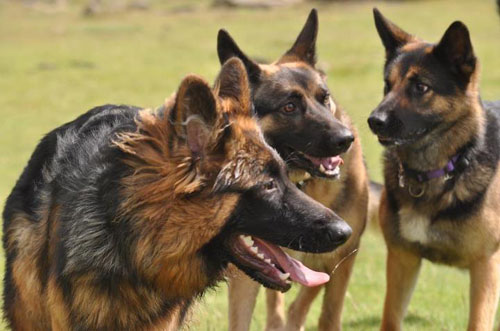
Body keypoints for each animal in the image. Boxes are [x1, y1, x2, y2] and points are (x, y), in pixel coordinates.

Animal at [220, 9, 372, 330]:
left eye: (324, 97)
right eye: (289, 107)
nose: (346, 140)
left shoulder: (342, 256)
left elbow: (324, 310)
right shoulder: (248, 262)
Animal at [368, 7, 500, 331]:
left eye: (421, 87)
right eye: (387, 85)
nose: (373, 121)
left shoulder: (486, 267)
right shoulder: (402, 259)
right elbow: (390, 319)